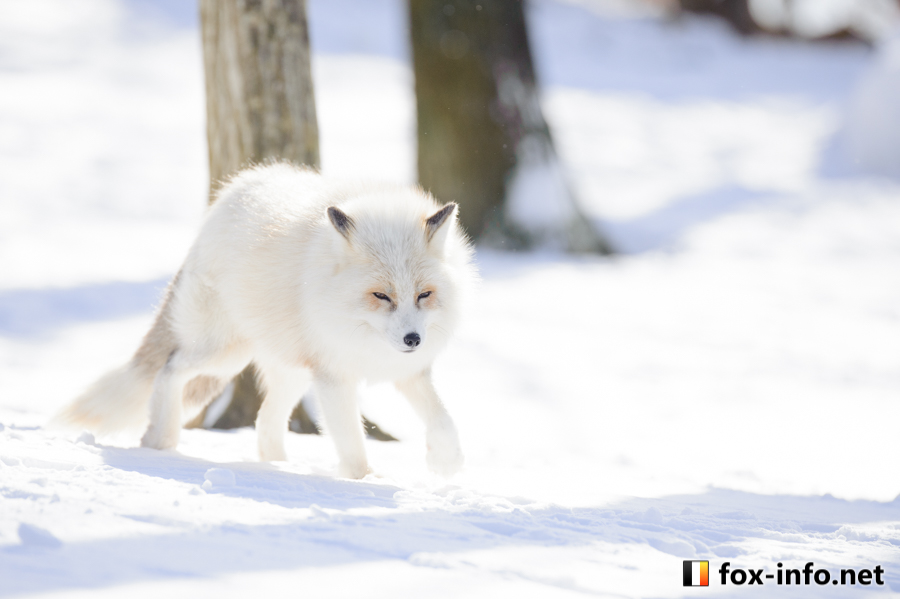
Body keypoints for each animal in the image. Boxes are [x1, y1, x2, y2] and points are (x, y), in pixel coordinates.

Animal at [54, 163, 478, 478]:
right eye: (381, 296)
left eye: (424, 295)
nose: (413, 340)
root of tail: (225, 199)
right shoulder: (334, 375)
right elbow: (353, 446)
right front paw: (362, 484)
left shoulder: (408, 372)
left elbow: (443, 420)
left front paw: (447, 463)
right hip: (223, 355)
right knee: (170, 368)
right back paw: (161, 440)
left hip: (290, 371)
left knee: (264, 422)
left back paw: (278, 467)